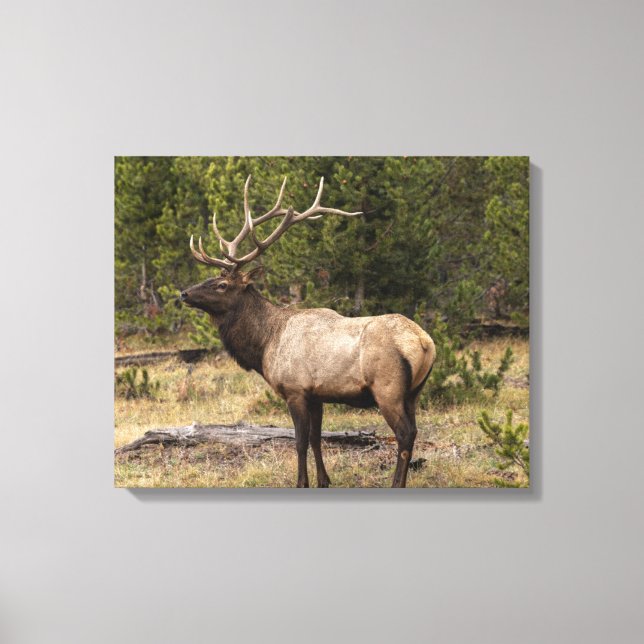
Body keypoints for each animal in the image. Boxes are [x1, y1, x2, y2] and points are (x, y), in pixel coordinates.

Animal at [180, 176, 436, 487]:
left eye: (222, 285)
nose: (184, 293)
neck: (265, 344)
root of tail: (424, 342)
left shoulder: (295, 390)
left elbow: (299, 441)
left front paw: (301, 481)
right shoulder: (317, 395)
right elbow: (316, 438)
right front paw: (324, 480)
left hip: (388, 388)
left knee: (404, 434)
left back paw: (396, 483)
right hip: (414, 392)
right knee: (414, 431)